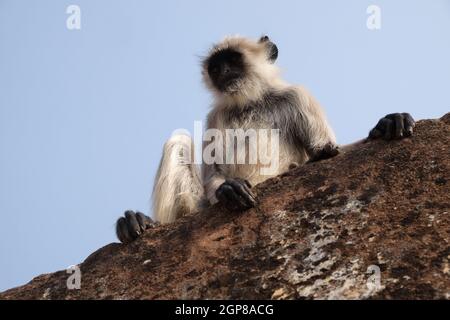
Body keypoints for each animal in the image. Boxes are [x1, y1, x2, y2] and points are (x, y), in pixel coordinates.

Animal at [115, 35, 414, 244]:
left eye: (233, 60)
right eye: (215, 67)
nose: (223, 72)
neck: (250, 102)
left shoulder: (298, 96)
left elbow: (326, 152)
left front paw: (386, 124)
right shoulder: (215, 116)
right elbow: (215, 173)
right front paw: (228, 188)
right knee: (179, 140)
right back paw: (141, 224)